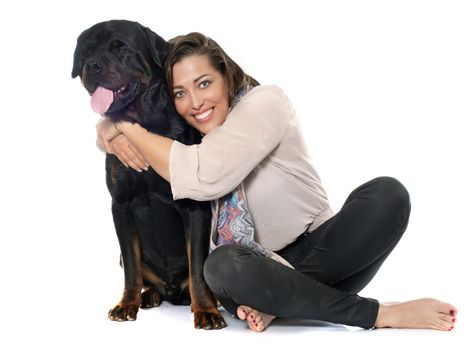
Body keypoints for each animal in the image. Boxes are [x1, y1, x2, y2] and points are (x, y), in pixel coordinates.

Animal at [72, 20, 226, 330]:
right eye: (85, 52)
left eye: (121, 48)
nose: (92, 65)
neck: (144, 123)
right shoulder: (120, 205)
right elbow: (132, 267)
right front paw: (126, 304)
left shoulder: (194, 207)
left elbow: (197, 267)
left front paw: (205, 310)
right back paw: (149, 296)